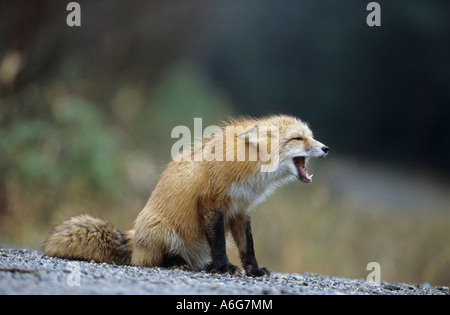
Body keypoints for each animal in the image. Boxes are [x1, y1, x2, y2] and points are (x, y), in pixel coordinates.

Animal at [44, 115, 328, 276]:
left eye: (311, 137)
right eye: (298, 138)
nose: (326, 148)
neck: (250, 169)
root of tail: (134, 240)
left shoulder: (240, 210)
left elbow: (248, 247)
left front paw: (254, 270)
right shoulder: (211, 202)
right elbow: (219, 243)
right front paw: (224, 267)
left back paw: (204, 265)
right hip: (162, 230)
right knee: (154, 261)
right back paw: (179, 263)